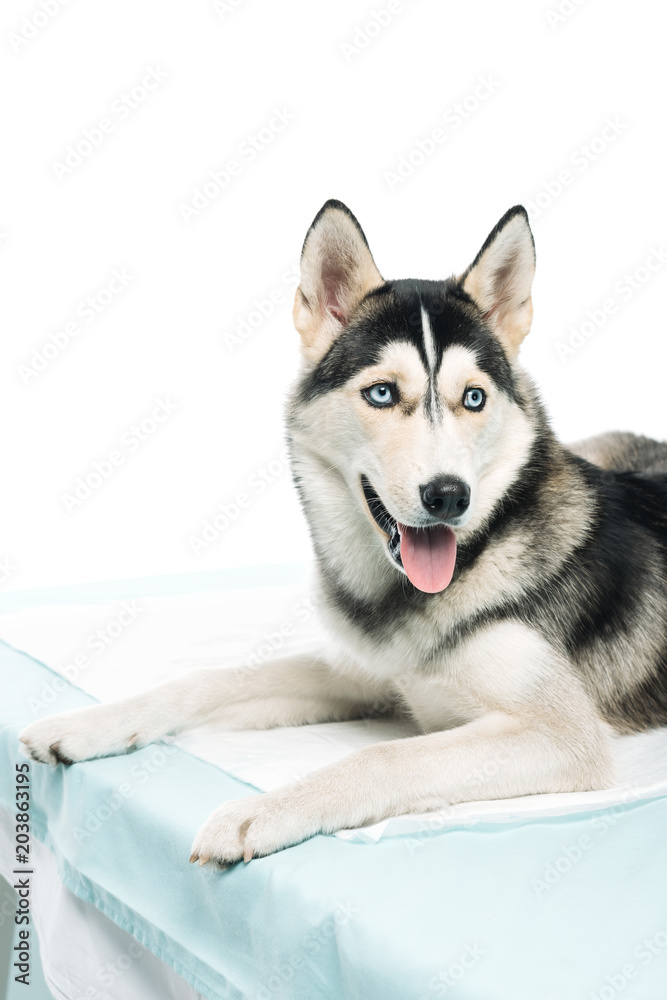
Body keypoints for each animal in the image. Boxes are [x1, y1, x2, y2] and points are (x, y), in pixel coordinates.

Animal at [20, 203, 667, 868]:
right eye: (381, 392)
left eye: (473, 397)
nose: (449, 496)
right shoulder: (364, 672)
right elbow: (213, 678)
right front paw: (83, 724)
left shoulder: (563, 736)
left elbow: (384, 756)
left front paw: (260, 811)